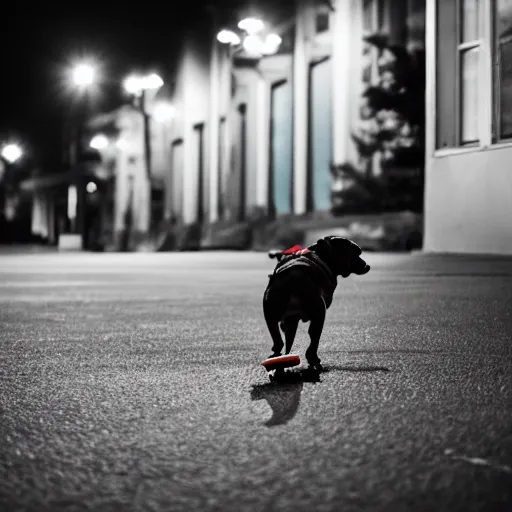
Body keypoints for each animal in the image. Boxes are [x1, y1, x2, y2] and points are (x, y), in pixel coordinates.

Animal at [264, 236, 368, 372]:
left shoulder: (291, 321)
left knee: (278, 340)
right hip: (319, 314)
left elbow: (288, 337)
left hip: (270, 313)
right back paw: (314, 360)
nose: (367, 265)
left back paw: (278, 358)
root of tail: (294, 278)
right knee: (313, 339)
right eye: (356, 253)